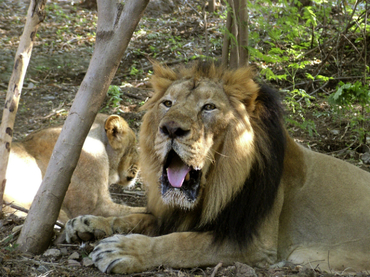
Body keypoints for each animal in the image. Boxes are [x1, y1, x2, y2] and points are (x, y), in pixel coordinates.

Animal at [65, 62, 370, 272]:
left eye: (209, 107)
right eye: (167, 103)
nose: (170, 129)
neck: (213, 188)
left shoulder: (254, 241)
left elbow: (182, 242)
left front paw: (124, 250)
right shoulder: (171, 214)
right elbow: (137, 216)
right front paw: (87, 223)